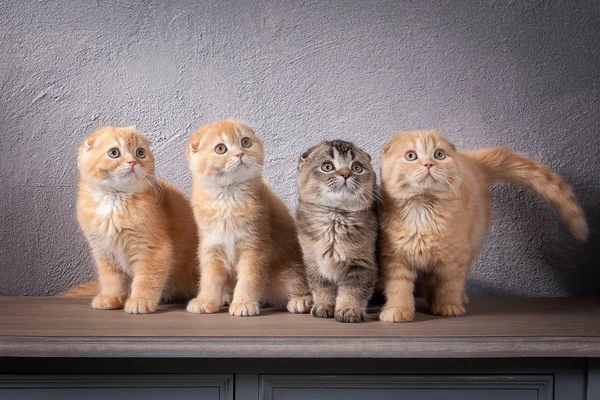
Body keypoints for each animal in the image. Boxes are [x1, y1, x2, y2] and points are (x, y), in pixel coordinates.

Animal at [74, 126, 198, 314]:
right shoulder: (103, 251)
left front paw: (140, 300)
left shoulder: (154, 249)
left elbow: (147, 278)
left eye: (140, 153)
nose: (132, 162)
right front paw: (110, 297)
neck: (114, 201)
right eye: (114, 153)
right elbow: (111, 279)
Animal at [186, 117, 310, 318]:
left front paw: (243, 303)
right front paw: (206, 300)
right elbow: (210, 278)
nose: (239, 154)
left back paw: (302, 300)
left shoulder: (255, 246)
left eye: (245, 142)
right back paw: (224, 297)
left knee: (300, 283)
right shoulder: (211, 246)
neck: (227, 197)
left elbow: (249, 278)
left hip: (287, 273)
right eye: (220, 149)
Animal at [296, 140, 378, 322]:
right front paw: (322, 306)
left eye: (357, 168)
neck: (334, 221)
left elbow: (352, 290)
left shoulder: (363, 264)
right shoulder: (314, 262)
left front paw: (349, 309)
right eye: (327, 167)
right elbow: (322, 287)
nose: (345, 174)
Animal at [378, 130, 588, 324]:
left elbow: (449, 284)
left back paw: (456, 298)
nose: (429, 164)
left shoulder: (455, 258)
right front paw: (398, 310)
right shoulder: (395, 257)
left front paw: (448, 305)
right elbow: (398, 287)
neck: (423, 210)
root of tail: (471, 160)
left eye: (439, 154)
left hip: (474, 240)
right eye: (411, 156)